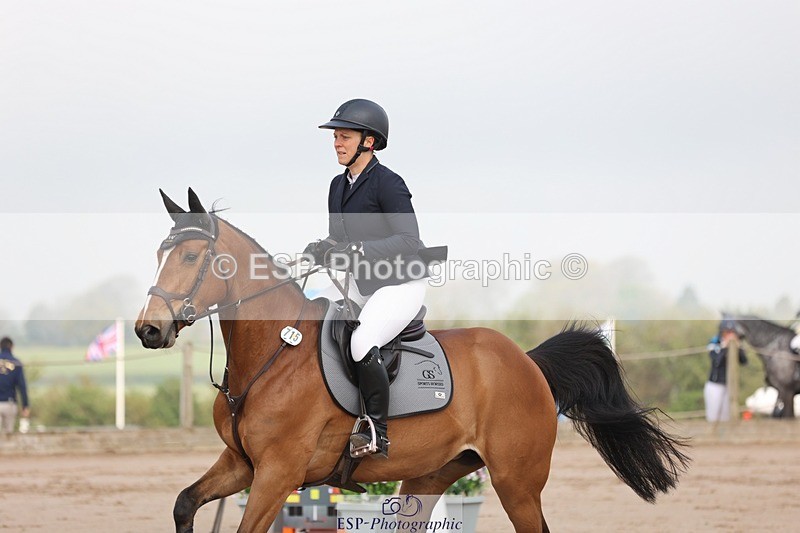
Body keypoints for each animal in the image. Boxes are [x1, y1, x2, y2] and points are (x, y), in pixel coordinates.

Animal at [135, 189, 689, 532]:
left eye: (190, 257)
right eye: (159, 256)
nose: (148, 329)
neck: (275, 351)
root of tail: (528, 362)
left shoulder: (278, 472)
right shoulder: (242, 464)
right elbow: (184, 502)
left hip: (517, 481)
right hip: (431, 476)